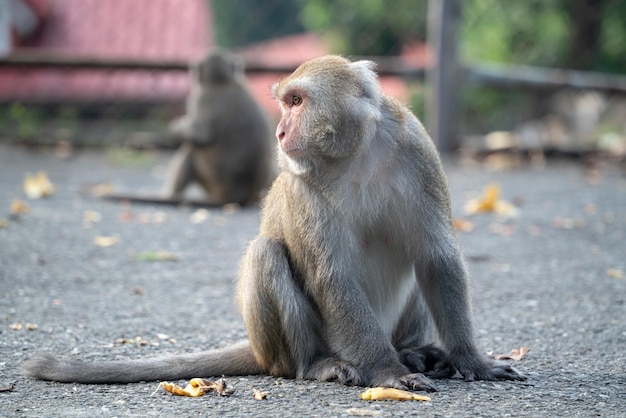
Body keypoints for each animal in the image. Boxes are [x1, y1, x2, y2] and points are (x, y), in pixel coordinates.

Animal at [101, 49, 272, 207]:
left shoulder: (200, 98)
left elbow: (202, 136)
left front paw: (178, 129)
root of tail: (237, 195)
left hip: (211, 178)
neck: (222, 81)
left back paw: (169, 194)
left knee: (191, 149)